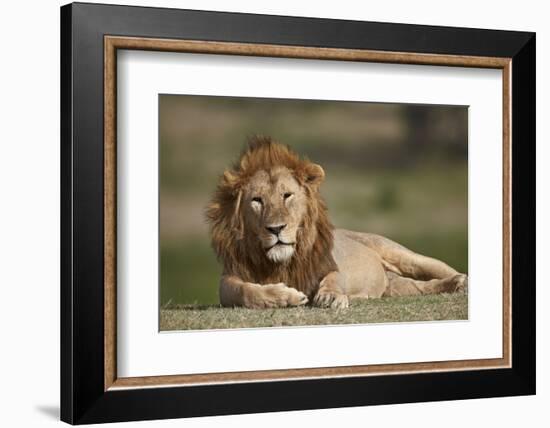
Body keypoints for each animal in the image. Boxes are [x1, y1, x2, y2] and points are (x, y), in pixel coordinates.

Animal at [205, 137, 468, 308]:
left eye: (287, 195)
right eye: (257, 201)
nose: (276, 229)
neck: (282, 262)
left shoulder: (329, 264)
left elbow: (333, 277)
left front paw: (330, 296)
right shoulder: (228, 278)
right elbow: (243, 291)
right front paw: (286, 297)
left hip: (403, 255)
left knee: (437, 270)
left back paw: (461, 281)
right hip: (394, 287)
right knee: (420, 287)